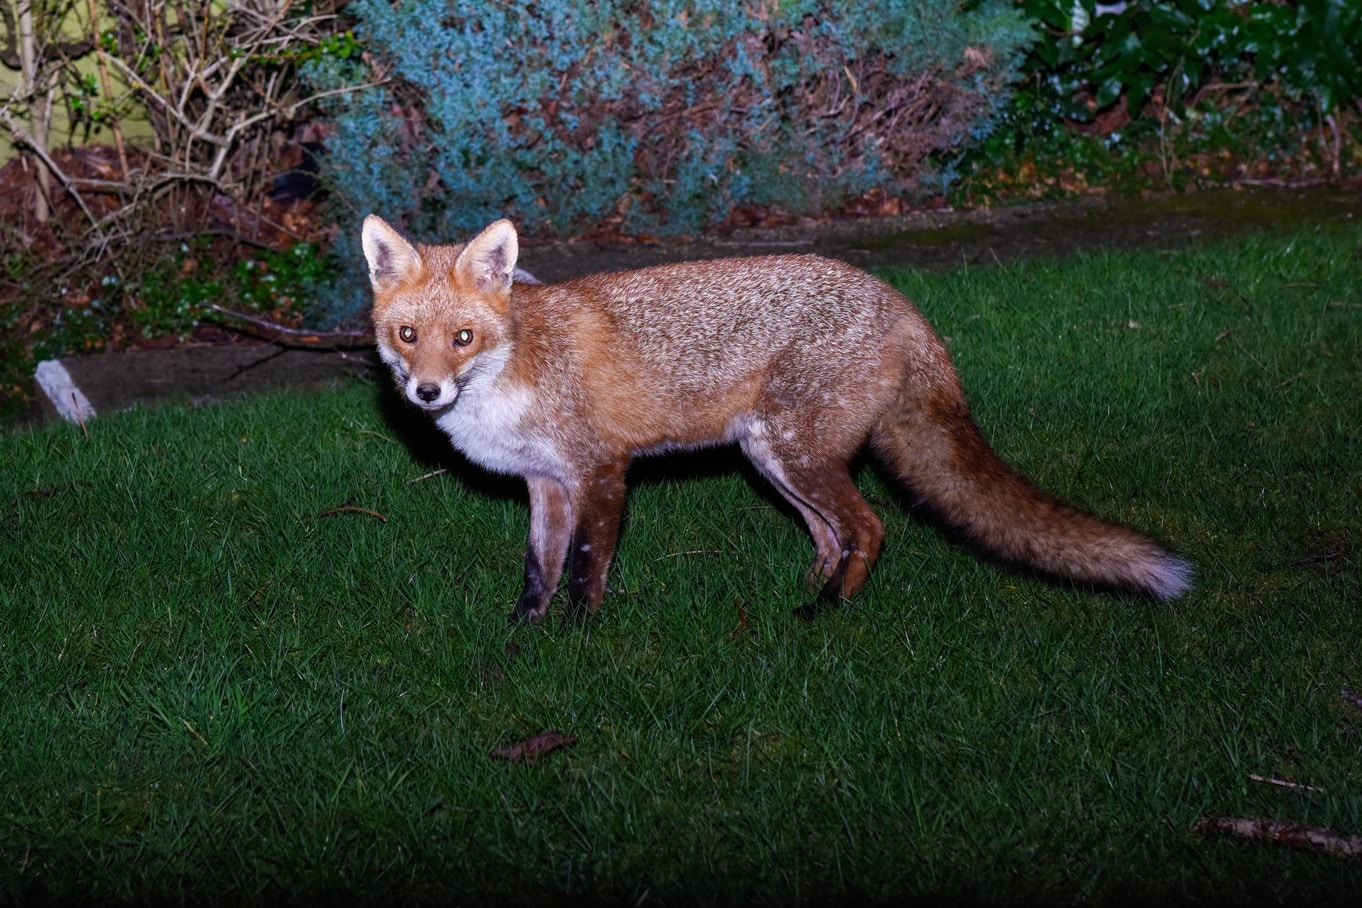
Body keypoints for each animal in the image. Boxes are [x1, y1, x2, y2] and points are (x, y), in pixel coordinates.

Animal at [361, 215, 1192, 621]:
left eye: (462, 338)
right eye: (406, 336)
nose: (426, 395)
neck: (518, 366)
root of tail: (899, 302)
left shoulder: (600, 471)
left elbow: (588, 571)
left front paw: (578, 641)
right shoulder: (545, 485)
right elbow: (540, 570)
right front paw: (521, 640)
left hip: (794, 450)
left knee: (870, 528)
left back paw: (825, 613)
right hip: (771, 456)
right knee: (829, 534)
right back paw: (801, 594)